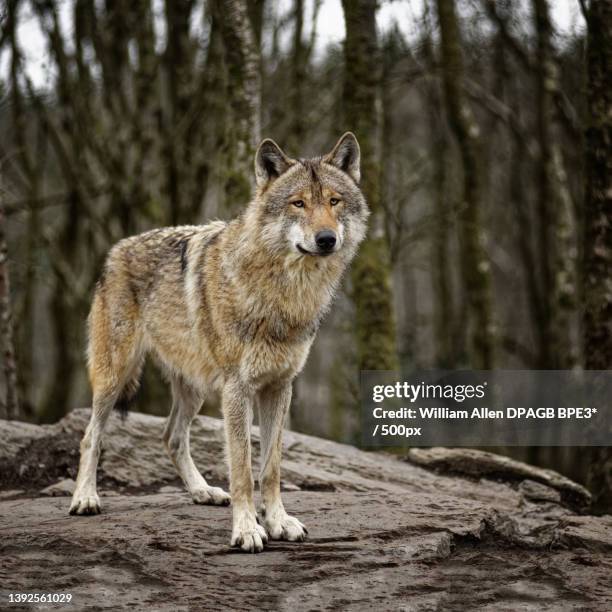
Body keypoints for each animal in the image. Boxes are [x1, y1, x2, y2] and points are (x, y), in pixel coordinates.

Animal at [70, 134, 370, 556]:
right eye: (298, 203)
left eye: (333, 201)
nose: (326, 239)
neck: (283, 295)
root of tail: (116, 250)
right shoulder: (237, 389)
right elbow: (243, 469)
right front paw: (247, 530)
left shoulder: (280, 386)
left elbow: (271, 467)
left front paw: (278, 522)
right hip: (115, 377)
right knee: (90, 437)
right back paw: (85, 498)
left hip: (193, 388)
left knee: (171, 437)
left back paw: (203, 492)